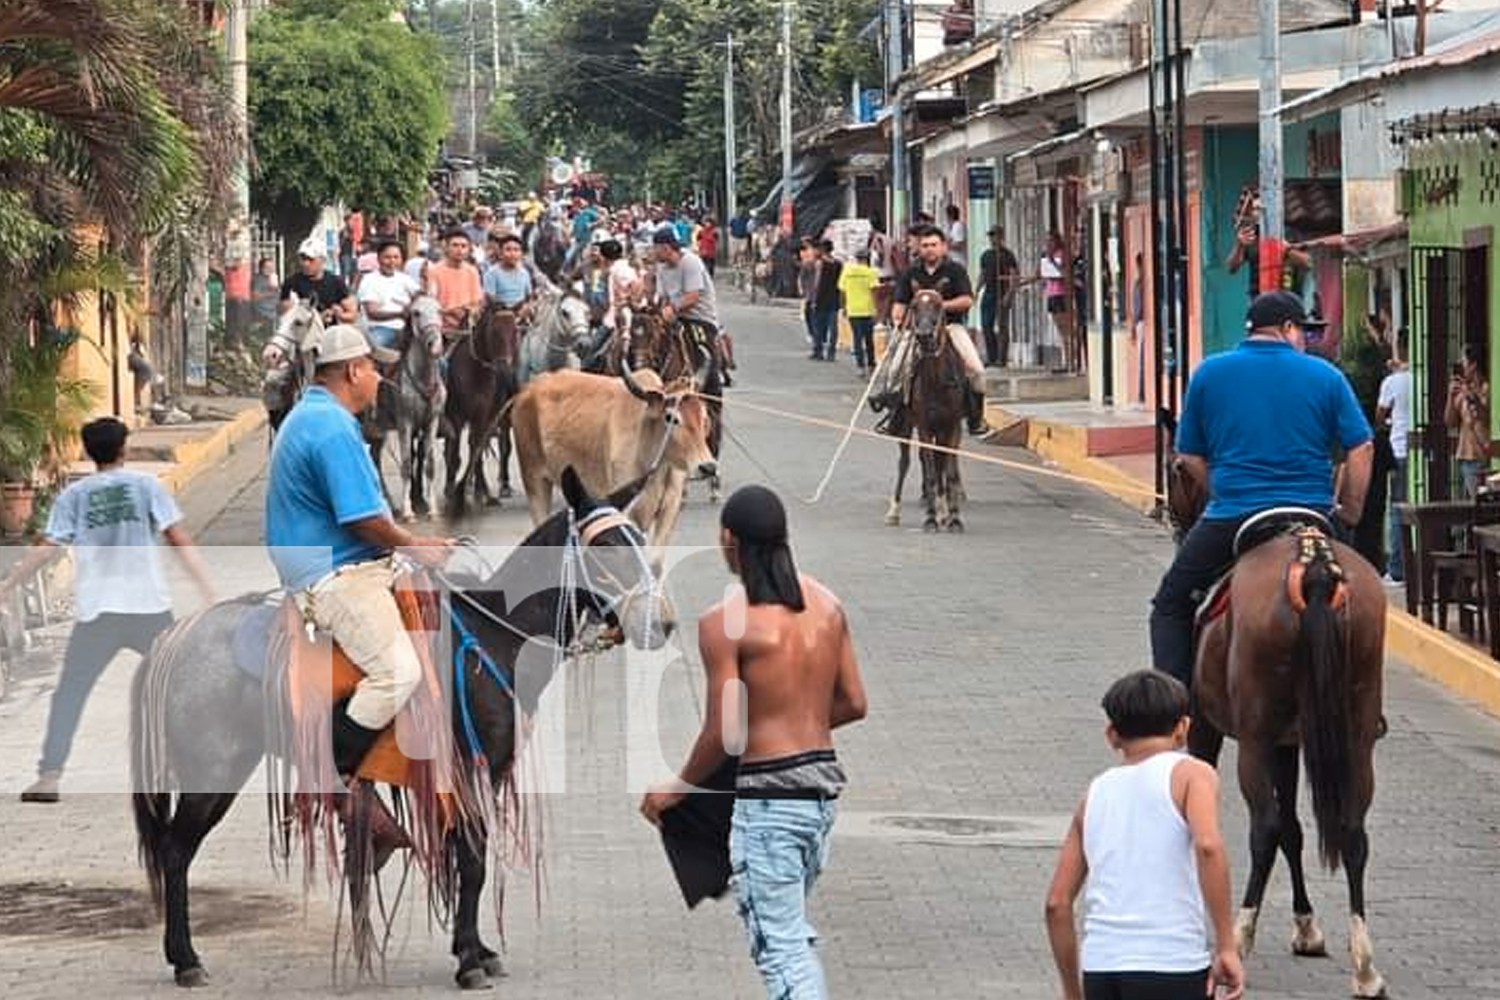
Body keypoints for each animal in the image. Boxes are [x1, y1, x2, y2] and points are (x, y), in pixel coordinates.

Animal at [133, 467, 675, 983]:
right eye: (606, 546)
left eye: (640, 539)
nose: (662, 623)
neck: (492, 638)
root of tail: (174, 640)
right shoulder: (466, 774)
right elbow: (473, 862)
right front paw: (469, 961)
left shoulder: (484, 778)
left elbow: (470, 859)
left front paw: (476, 948)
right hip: (211, 777)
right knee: (175, 852)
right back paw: (185, 959)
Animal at [441, 302, 519, 515]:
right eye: (494, 331)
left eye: (515, 331)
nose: (505, 368)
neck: (475, 371)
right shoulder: (456, 417)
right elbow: (455, 455)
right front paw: (452, 492)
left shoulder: (482, 416)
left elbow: (476, 448)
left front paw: (478, 493)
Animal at [510, 367, 720, 554]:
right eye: (671, 418)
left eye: (704, 417)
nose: (708, 467)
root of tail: (528, 390)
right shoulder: (630, 512)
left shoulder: (669, 511)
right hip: (535, 481)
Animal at [882, 289, 966, 530]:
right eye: (913, 306)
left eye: (939, 305)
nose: (924, 335)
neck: (937, 381)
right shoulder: (924, 427)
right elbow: (929, 471)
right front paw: (930, 519)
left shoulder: (953, 426)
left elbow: (949, 470)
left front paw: (953, 518)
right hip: (907, 426)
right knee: (905, 463)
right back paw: (895, 511)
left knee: (940, 464)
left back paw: (942, 509)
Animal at [1164, 458, 1386, 995]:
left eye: (1175, 470)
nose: (1171, 519)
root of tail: (1316, 567)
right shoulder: (1291, 743)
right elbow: (1295, 829)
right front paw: (1307, 926)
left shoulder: (1209, 727)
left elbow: (1274, 826)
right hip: (1355, 734)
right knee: (1352, 831)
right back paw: (1365, 966)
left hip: (1254, 737)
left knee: (1263, 827)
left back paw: (1239, 940)